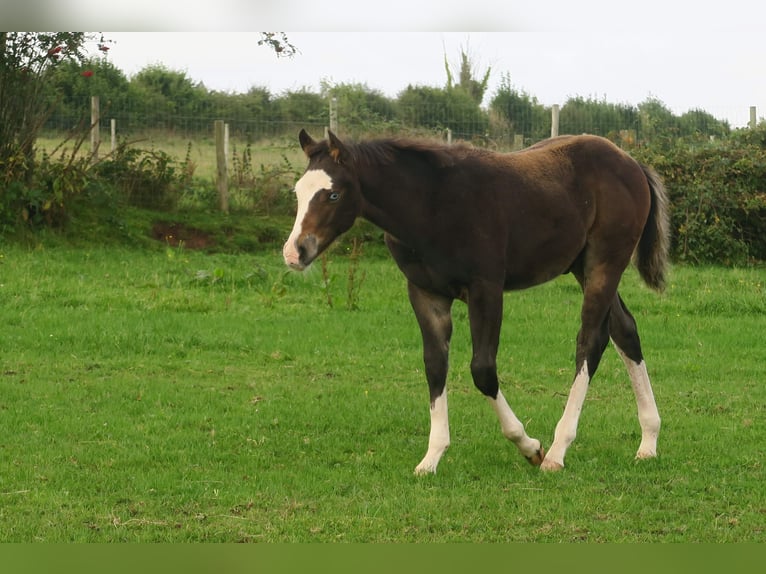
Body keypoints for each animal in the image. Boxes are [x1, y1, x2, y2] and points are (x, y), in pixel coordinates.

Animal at [284, 130, 672, 476]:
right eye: (298, 193)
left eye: (333, 194)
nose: (294, 252)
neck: (430, 204)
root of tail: (632, 163)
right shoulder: (425, 293)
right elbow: (434, 365)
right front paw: (431, 458)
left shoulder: (486, 289)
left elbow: (482, 370)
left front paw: (529, 446)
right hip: (582, 266)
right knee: (625, 330)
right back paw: (649, 440)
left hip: (605, 263)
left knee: (591, 340)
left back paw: (558, 450)